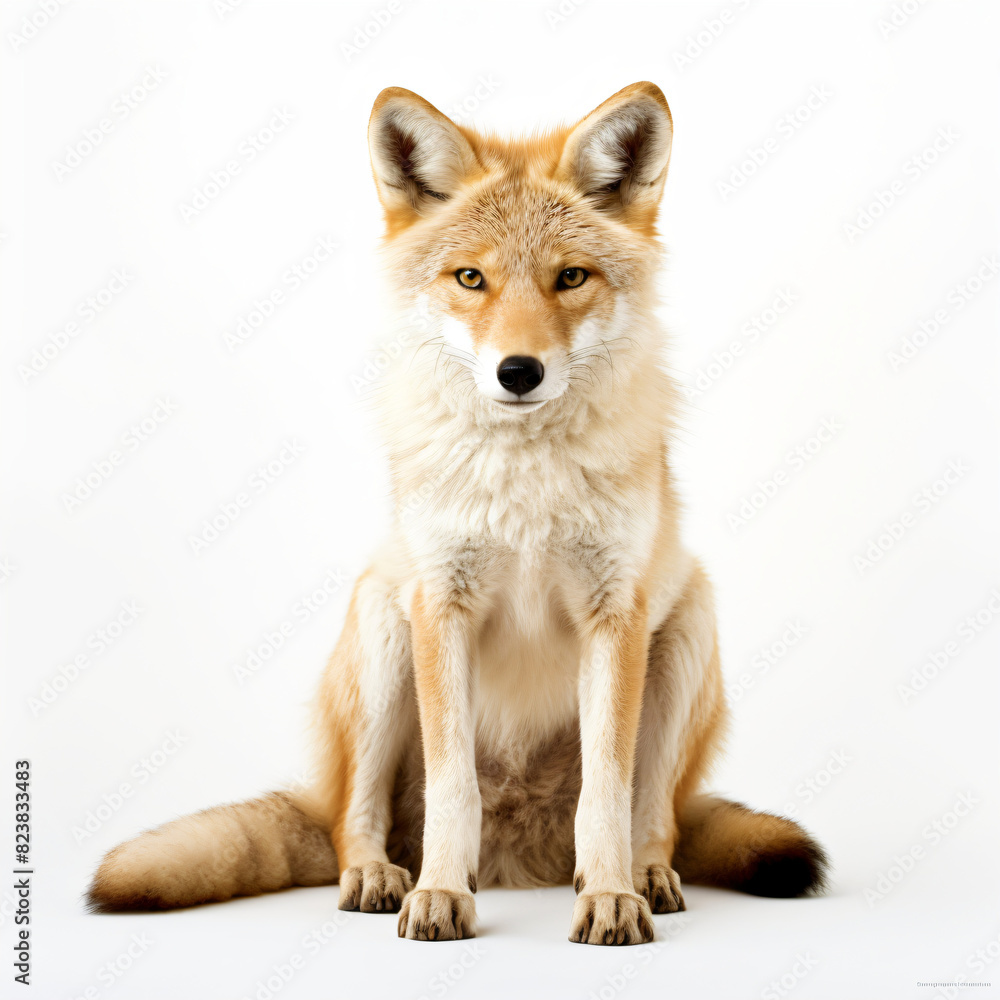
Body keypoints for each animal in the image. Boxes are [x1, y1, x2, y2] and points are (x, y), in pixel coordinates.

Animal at [87, 81, 828, 945]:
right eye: (471, 278)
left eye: (570, 277)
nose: (519, 371)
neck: (526, 494)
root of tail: (520, 855)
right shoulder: (443, 603)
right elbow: (452, 787)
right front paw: (440, 891)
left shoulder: (615, 612)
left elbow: (607, 794)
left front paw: (610, 895)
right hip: (383, 638)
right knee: (351, 820)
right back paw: (382, 875)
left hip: (687, 630)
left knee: (658, 814)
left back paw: (644, 875)